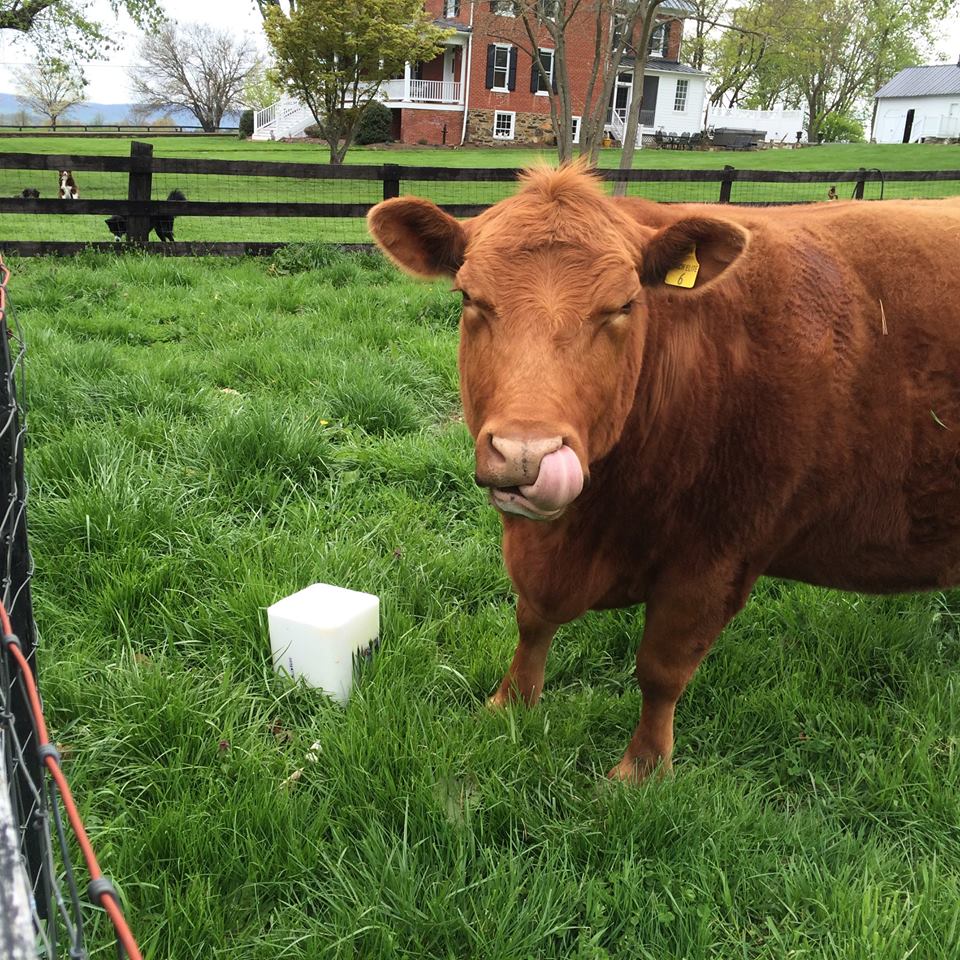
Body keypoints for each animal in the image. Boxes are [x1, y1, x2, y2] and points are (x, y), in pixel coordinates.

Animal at [367, 164, 960, 783]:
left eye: (624, 305)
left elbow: (661, 671)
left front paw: (642, 769)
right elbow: (531, 621)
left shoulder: (716, 559)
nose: (526, 452)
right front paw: (508, 705)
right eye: (469, 297)